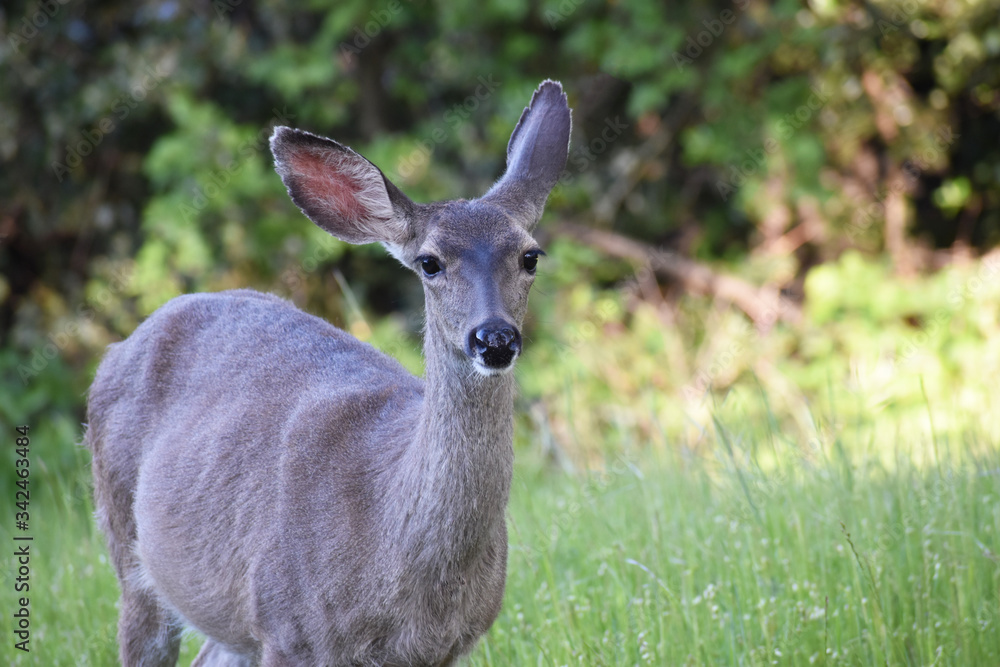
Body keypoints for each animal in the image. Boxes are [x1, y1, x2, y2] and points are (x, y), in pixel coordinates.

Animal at [86, 79, 572, 667]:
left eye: (531, 256)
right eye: (429, 262)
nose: (495, 338)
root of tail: (120, 344)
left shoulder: (449, 647)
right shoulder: (287, 626)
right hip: (128, 545)